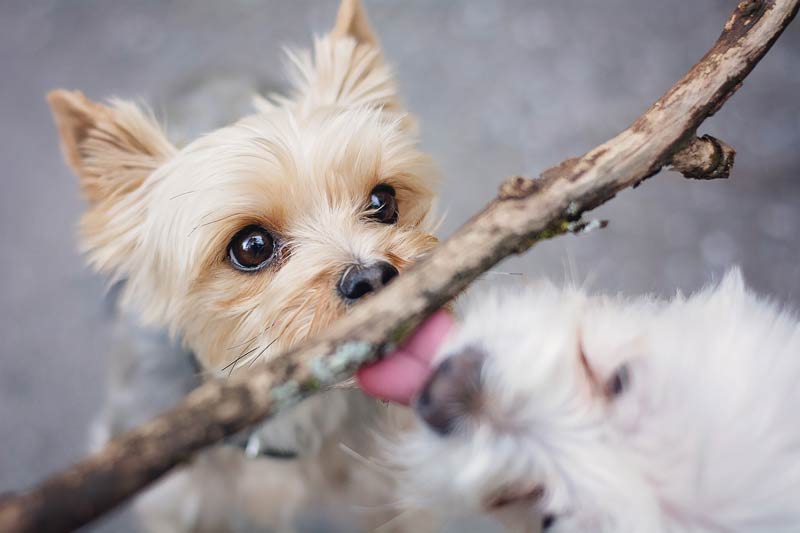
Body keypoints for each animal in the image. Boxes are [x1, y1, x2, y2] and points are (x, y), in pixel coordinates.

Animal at [46, 2, 434, 528]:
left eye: (383, 201)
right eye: (251, 246)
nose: (373, 275)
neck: (288, 407)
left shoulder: (384, 486)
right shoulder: (175, 502)